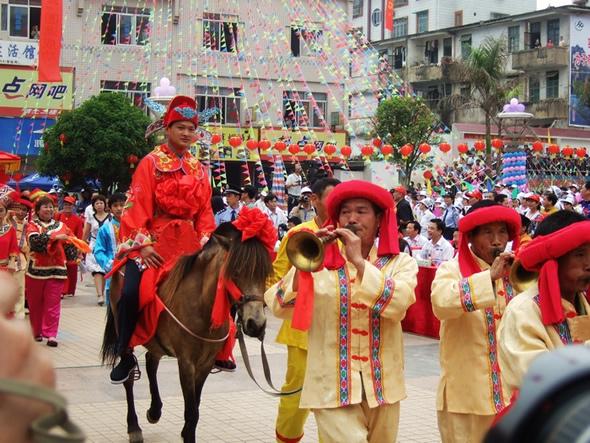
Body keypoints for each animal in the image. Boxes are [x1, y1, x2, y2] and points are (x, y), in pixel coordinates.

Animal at [103, 224, 274, 442]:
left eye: (264, 273)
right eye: (235, 271)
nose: (256, 324)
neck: (201, 305)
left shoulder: (205, 363)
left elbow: (195, 408)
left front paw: (186, 431)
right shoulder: (186, 362)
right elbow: (191, 411)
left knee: (151, 361)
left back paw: (155, 410)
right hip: (122, 325)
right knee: (130, 378)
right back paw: (133, 426)